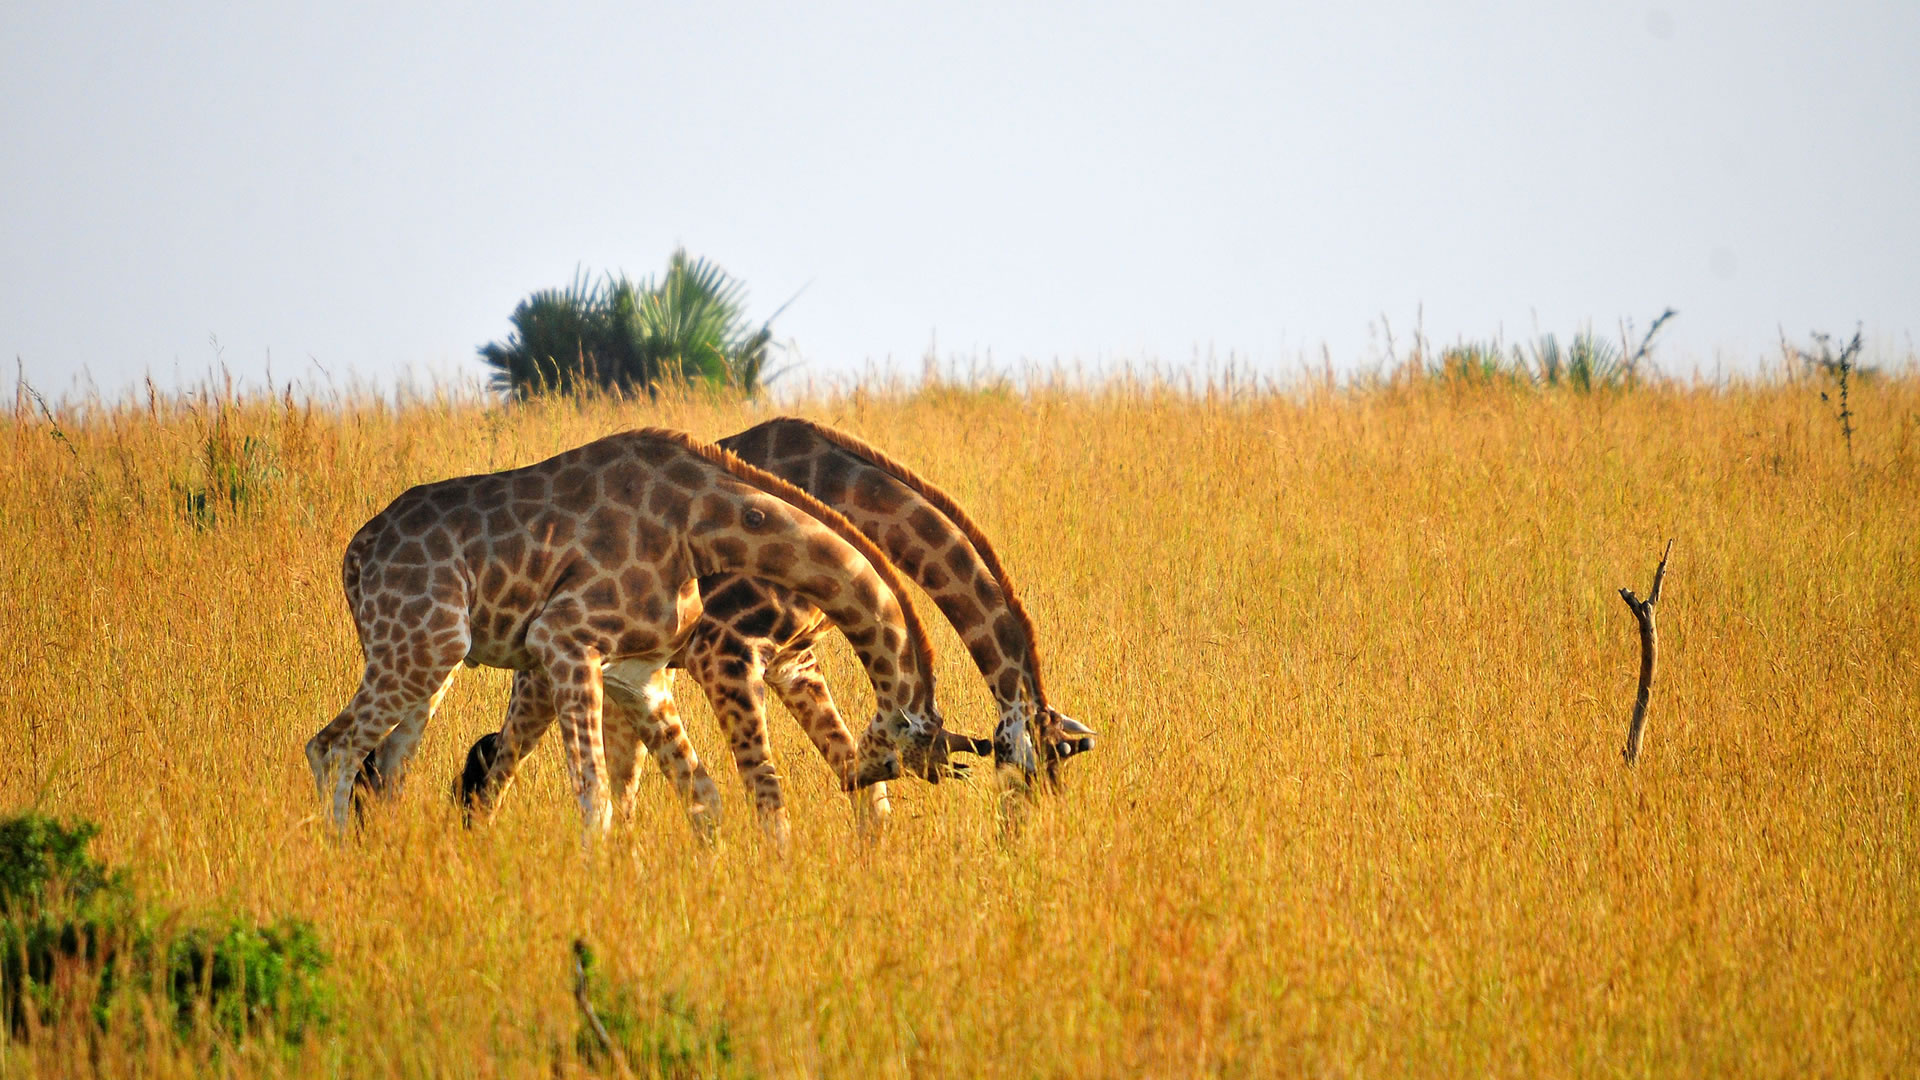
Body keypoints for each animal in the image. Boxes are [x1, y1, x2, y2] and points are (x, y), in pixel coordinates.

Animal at [305, 424, 952, 826]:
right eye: (907, 748)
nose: (864, 776)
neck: (700, 522)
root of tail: (355, 555)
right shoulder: (564, 641)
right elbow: (596, 795)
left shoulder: (639, 673)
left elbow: (700, 794)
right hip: (423, 647)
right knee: (332, 748)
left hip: (427, 662)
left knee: (387, 770)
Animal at [464, 411, 1098, 834]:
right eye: (1022, 777)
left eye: (1055, 782)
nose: (1015, 841)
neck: (842, 495)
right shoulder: (723, 650)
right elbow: (771, 794)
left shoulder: (795, 660)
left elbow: (868, 797)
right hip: (554, 670)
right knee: (497, 767)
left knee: (615, 780)